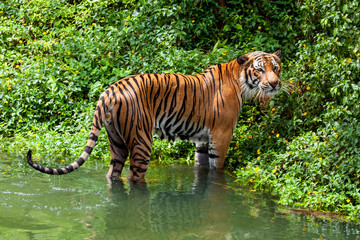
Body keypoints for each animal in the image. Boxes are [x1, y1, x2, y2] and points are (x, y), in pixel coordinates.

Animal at [26, 50, 282, 182]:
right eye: (260, 69)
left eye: (276, 68)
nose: (275, 83)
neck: (241, 81)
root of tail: (110, 90)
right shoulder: (222, 135)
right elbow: (216, 168)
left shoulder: (202, 139)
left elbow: (201, 167)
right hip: (141, 139)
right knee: (135, 176)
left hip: (116, 140)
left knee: (113, 172)